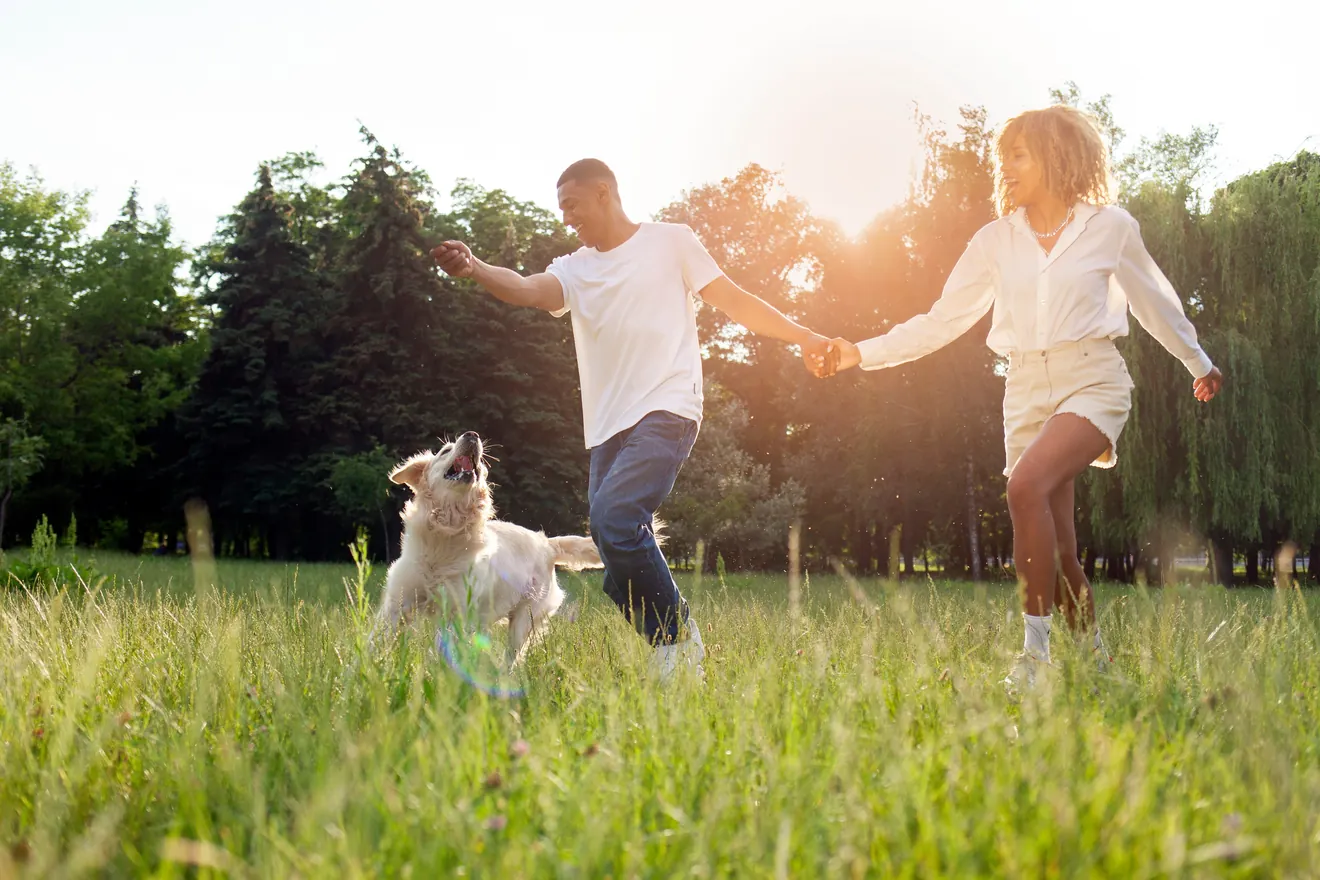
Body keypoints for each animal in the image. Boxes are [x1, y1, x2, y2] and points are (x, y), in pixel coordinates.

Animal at [372, 430, 599, 664]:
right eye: (445, 451)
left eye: (480, 464)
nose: (472, 435)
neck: (445, 534)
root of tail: (546, 543)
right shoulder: (397, 604)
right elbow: (378, 639)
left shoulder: (457, 613)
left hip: (524, 620)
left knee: (511, 659)